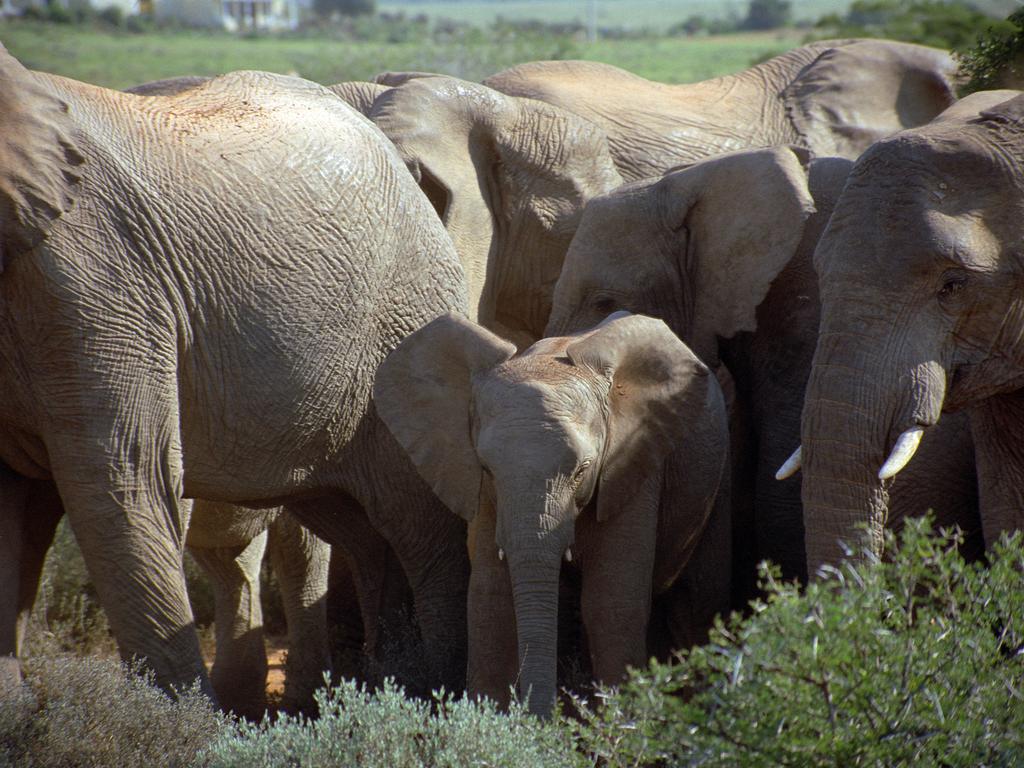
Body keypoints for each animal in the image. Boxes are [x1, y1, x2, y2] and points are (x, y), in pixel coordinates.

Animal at [0, 45, 468, 700]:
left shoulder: (94, 280)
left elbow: (125, 476)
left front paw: (176, 720)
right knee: (358, 531)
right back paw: (388, 690)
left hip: (409, 319)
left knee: (421, 528)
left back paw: (433, 697)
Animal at [372, 311, 733, 716]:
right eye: (487, 470)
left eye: (582, 470)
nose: (544, 719)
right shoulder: (484, 495)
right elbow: (490, 601)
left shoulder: (632, 463)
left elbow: (611, 603)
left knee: (698, 601)